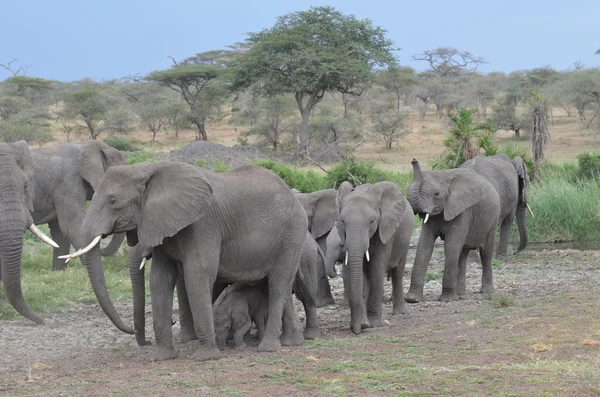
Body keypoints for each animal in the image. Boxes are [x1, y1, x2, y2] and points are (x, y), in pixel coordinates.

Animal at [61, 159, 308, 360]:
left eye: (113, 201)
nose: (144, 339)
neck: (148, 169)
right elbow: (160, 279)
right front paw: (162, 357)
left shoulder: (203, 224)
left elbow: (197, 276)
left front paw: (206, 357)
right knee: (280, 285)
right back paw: (292, 342)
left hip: (292, 234)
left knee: (278, 284)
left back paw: (269, 348)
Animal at [336, 181, 414, 332]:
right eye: (342, 221)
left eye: (372, 221)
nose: (357, 329)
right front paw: (363, 323)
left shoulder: (385, 228)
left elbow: (377, 267)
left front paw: (374, 324)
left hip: (405, 239)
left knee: (397, 272)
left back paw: (401, 313)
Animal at [404, 159, 502, 302]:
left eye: (437, 194)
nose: (413, 160)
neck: (445, 175)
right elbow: (424, 246)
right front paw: (412, 299)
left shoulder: (463, 209)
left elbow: (451, 246)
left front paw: (447, 299)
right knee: (462, 254)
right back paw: (460, 294)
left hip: (493, 217)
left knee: (486, 252)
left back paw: (486, 291)